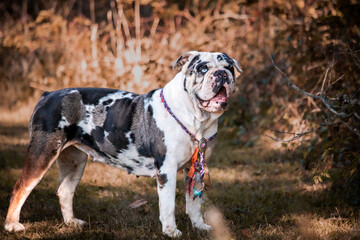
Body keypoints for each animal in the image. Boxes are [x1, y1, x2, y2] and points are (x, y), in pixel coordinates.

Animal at [4, 50, 240, 236]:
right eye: (202, 68)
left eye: (229, 67)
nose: (222, 74)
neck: (196, 119)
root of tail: (47, 95)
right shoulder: (167, 169)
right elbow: (168, 205)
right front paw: (171, 231)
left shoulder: (196, 168)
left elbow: (195, 202)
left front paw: (200, 226)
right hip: (42, 153)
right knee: (20, 187)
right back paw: (12, 225)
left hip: (75, 161)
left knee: (65, 191)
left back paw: (71, 222)